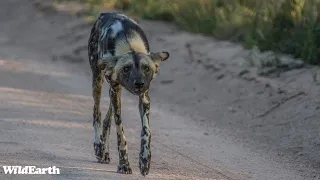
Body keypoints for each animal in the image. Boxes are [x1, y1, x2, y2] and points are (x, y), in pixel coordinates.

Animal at [86, 12, 169, 176]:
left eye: (146, 68)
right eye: (126, 68)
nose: (139, 83)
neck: (130, 45)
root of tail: (104, 13)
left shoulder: (144, 97)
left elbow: (146, 131)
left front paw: (144, 161)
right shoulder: (115, 90)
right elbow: (120, 133)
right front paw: (124, 164)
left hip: (114, 92)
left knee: (107, 118)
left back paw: (104, 152)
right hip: (99, 82)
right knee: (97, 112)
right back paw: (98, 146)